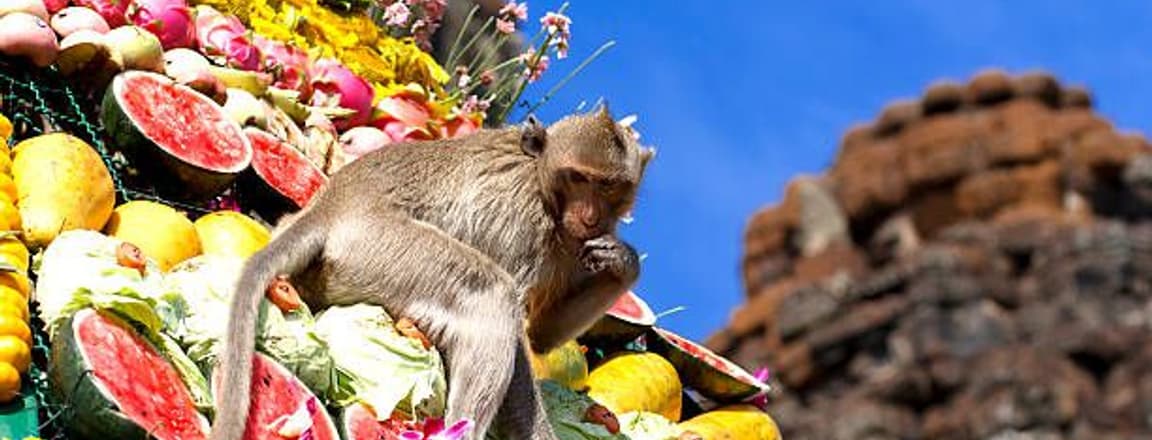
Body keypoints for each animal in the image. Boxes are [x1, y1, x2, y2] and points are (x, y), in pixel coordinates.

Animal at [210, 106, 654, 440]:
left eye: (608, 186)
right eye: (578, 178)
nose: (590, 216)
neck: (544, 187)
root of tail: (331, 206)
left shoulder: (574, 246)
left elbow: (542, 334)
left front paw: (623, 262)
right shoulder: (522, 222)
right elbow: (519, 335)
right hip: (379, 248)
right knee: (491, 293)